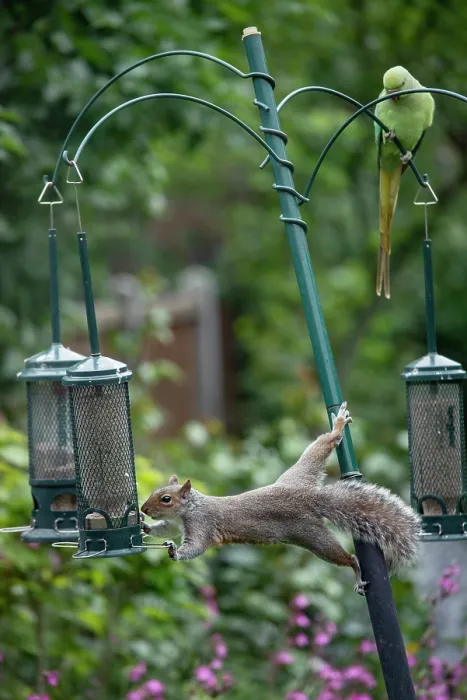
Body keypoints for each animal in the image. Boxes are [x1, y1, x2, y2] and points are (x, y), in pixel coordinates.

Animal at [141, 403, 420, 595]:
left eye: (165, 499)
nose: (143, 509)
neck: (188, 509)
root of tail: (312, 496)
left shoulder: (202, 524)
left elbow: (196, 546)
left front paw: (175, 552)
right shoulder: (176, 523)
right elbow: (165, 529)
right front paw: (146, 528)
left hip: (312, 536)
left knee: (346, 557)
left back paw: (356, 571)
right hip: (300, 472)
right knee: (325, 443)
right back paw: (337, 426)